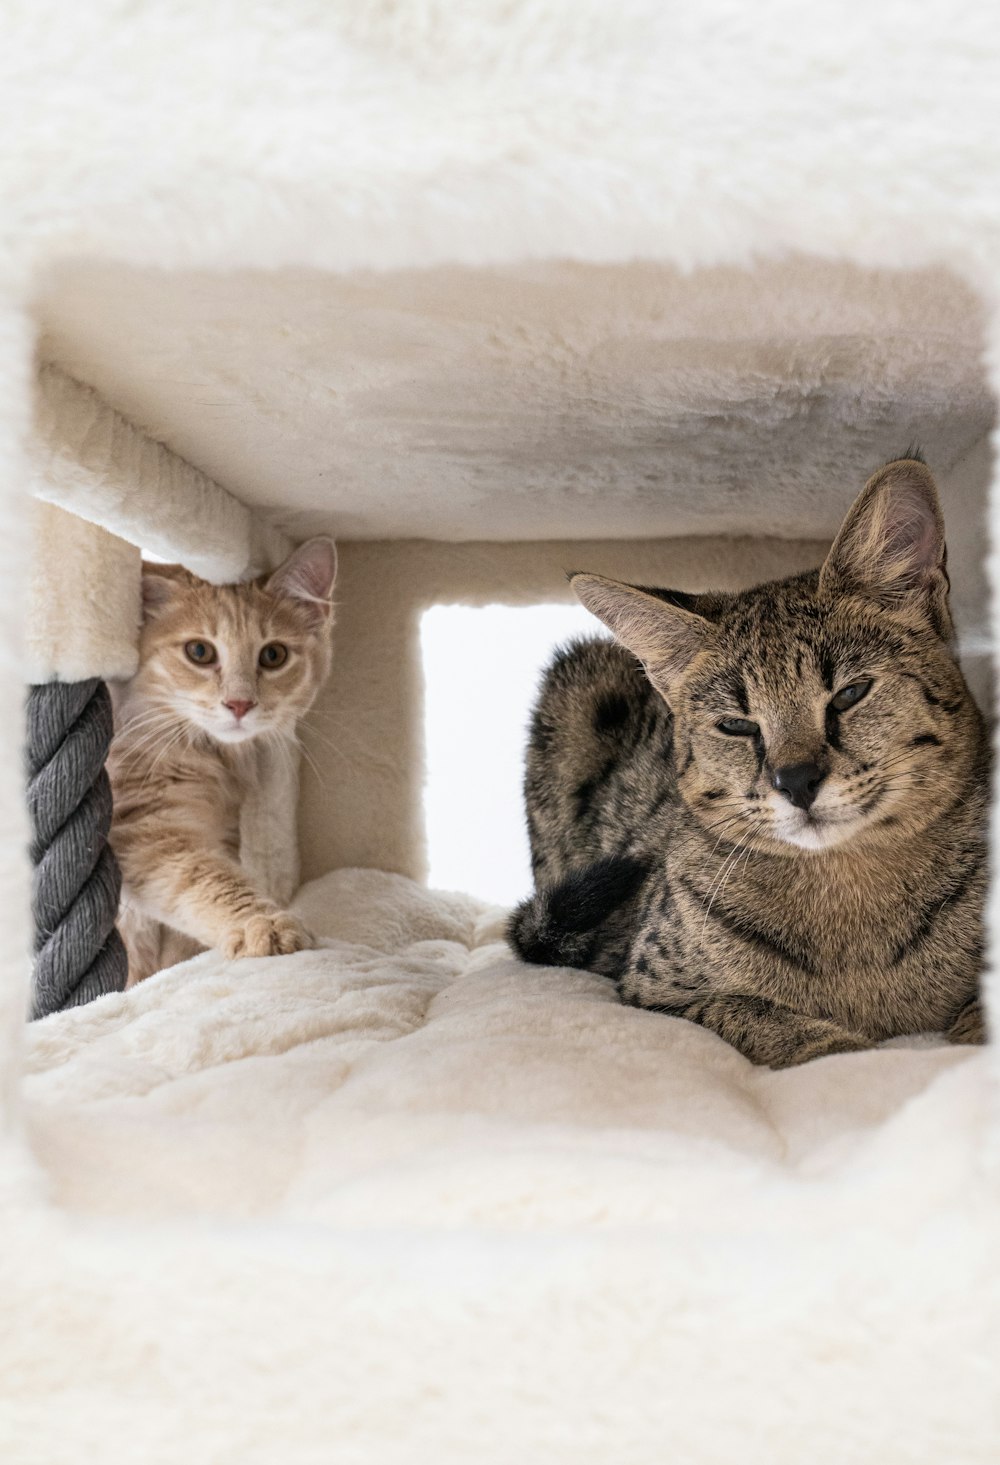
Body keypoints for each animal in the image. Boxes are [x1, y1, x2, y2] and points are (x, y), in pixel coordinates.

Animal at [108, 536, 336, 984]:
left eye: (273, 656)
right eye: (199, 651)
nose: (240, 704)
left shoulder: (222, 831)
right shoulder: (145, 830)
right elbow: (209, 883)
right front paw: (263, 925)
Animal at [512, 457, 989, 1066]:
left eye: (850, 694)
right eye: (737, 725)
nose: (796, 780)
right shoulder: (651, 994)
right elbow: (746, 1011)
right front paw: (837, 1047)